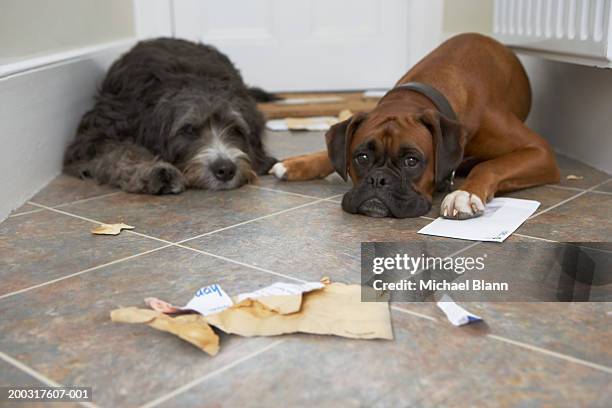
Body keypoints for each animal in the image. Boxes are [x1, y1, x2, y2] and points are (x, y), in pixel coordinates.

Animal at [64, 37, 278, 194]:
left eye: (236, 129)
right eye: (188, 130)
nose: (225, 170)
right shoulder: (94, 136)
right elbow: (120, 151)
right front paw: (155, 171)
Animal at [270, 34, 560, 218]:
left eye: (411, 161)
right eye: (361, 157)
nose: (378, 179)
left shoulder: (540, 151)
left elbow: (490, 166)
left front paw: (464, 194)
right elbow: (332, 154)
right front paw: (299, 162)